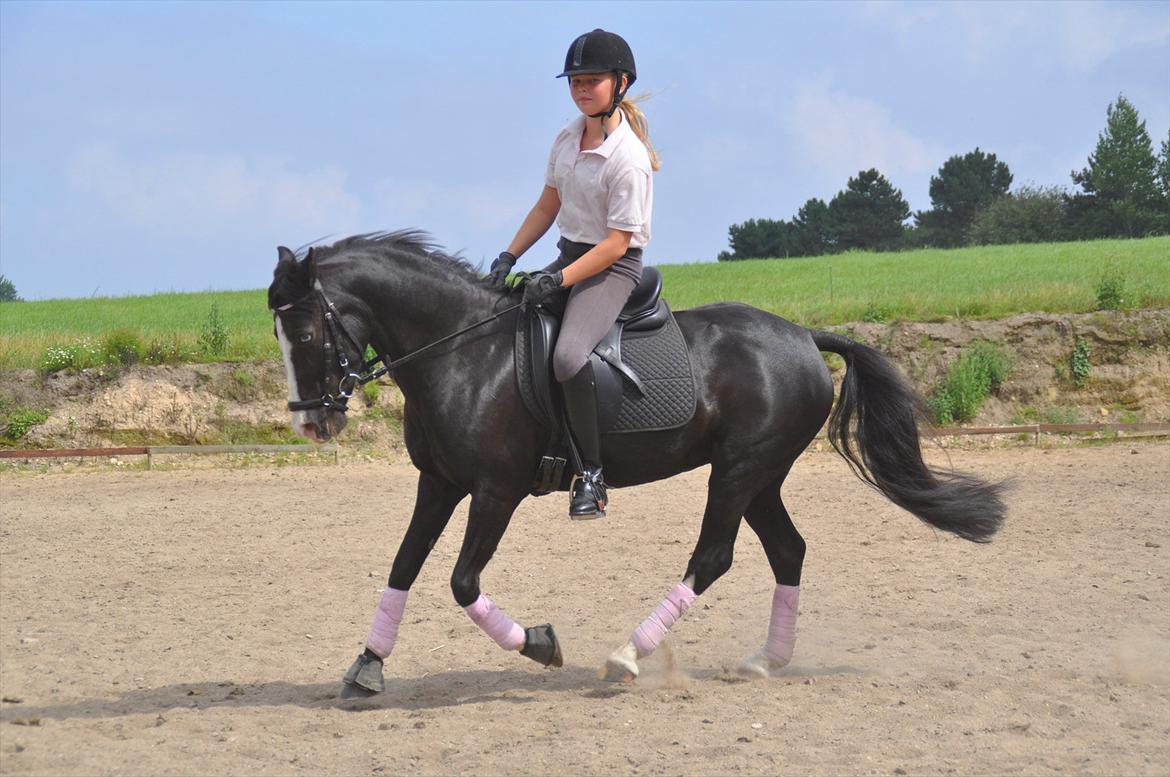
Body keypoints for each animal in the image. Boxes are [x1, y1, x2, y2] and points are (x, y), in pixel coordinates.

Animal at [267, 231, 1006, 697]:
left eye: (302, 330)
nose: (310, 421)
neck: (461, 353)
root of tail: (802, 335)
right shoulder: (440, 483)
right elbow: (403, 565)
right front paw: (367, 666)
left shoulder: (495, 490)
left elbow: (460, 581)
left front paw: (541, 643)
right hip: (759, 475)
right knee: (788, 549)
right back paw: (766, 660)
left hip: (738, 471)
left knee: (713, 557)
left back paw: (628, 654)